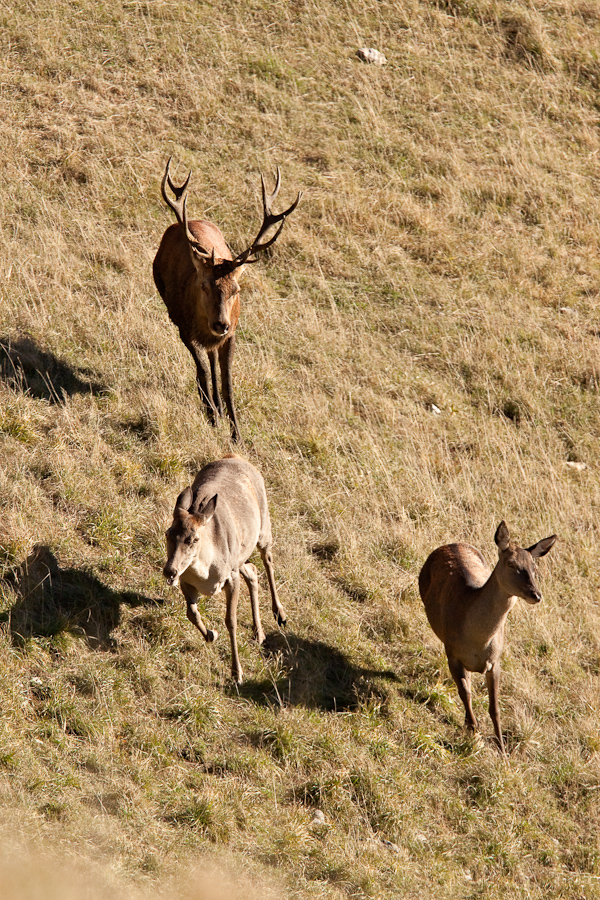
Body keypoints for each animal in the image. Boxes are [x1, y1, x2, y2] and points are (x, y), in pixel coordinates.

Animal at [152, 163, 302, 446]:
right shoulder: (183, 327)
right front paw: (211, 415)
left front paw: (236, 434)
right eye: (203, 285)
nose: (220, 323)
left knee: (211, 356)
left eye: (237, 290)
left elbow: (228, 383)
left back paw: (218, 406)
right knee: (204, 361)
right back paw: (211, 406)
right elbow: (201, 368)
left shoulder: (233, 333)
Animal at [163, 458, 288, 684]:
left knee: (267, 559)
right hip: (239, 555)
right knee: (252, 570)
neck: (206, 574)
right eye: (168, 533)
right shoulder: (187, 582)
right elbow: (191, 613)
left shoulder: (230, 577)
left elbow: (231, 620)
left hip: (264, 526)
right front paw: (211, 634)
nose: (170, 571)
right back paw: (259, 633)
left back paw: (280, 614)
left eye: (194, 539)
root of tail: (237, 457)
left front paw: (237, 673)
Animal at [420, 524, 556, 756]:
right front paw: (473, 733)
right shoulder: (452, 653)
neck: (478, 641)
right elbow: (465, 693)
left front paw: (502, 748)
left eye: (534, 567)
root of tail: (451, 544)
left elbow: (495, 707)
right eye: (511, 563)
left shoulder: (496, 661)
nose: (536, 595)